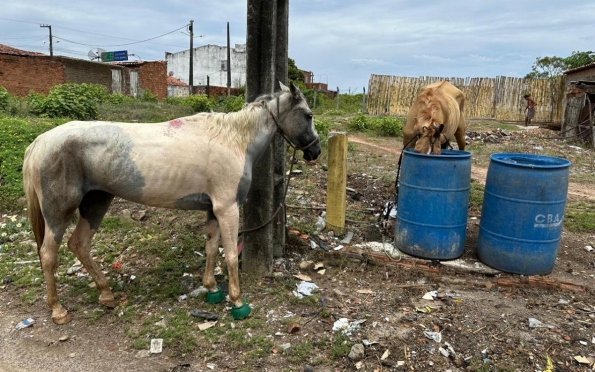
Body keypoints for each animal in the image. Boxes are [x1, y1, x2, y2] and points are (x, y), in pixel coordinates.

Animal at [23, 81, 322, 322]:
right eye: (308, 115)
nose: (315, 151)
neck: (234, 141)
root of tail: (41, 141)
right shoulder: (227, 209)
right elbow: (229, 256)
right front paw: (237, 302)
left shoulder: (213, 210)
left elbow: (211, 249)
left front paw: (212, 289)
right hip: (59, 213)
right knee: (48, 255)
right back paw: (58, 309)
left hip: (96, 203)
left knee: (79, 245)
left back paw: (106, 294)